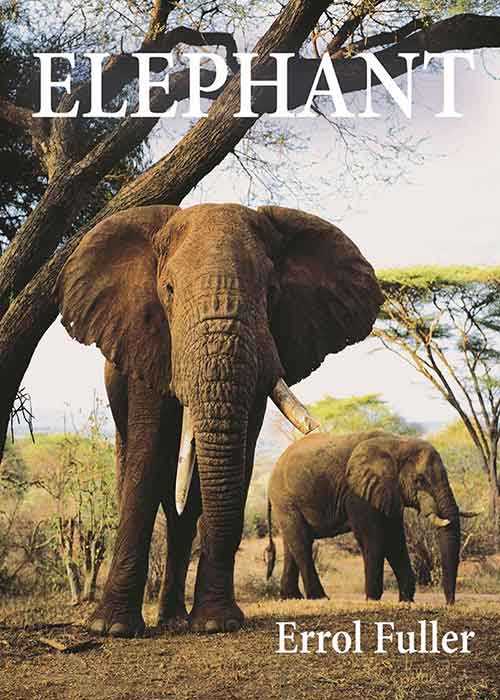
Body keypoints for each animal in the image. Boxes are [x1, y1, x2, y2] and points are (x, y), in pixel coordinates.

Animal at [55, 202, 383, 636]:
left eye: (271, 292)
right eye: (169, 290)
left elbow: (240, 456)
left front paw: (216, 623)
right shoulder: (148, 342)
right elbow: (147, 456)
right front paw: (112, 629)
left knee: (185, 511)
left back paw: (175, 619)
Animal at [266, 430, 473, 605]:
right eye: (419, 480)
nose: (449, 603)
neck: (397, 443)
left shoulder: (388, 492)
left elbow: (395, 540)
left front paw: (406, 600)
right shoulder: (357, 492)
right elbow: (372, 539)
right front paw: (373, 599)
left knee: (292, 544)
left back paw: (291, 597)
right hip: (285, 500)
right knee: (301, 543)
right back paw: (319, 598)